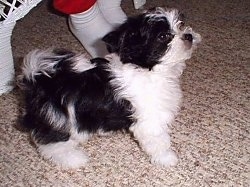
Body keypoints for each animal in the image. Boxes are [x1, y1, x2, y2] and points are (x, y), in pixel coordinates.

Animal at [17, 6, 201, 168]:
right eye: (163, 36)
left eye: (180, 24)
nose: (188, 36)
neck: (146, 69)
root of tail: (38, 80)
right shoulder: (150, 119)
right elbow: (159, 140)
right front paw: (167, 158)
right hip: (57, 118)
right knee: (51, 143)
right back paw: (73, 159)